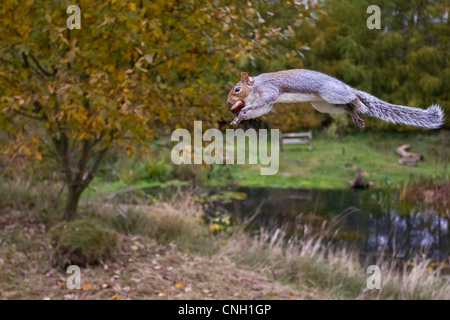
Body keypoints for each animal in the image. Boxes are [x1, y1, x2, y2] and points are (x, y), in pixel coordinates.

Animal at [227, 70, 444, 129]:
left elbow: (262, 102)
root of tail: (345, 86)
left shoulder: (269, 90)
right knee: (346, 107)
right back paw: (355, 115)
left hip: (330, 94)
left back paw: (359, 104)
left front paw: (243, 111)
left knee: (352, 97)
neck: (255, 85)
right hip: (324, 104)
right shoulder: (267, 102)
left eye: (237, 89)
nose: (229, 102)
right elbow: (260, 109)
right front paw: (240, 118)